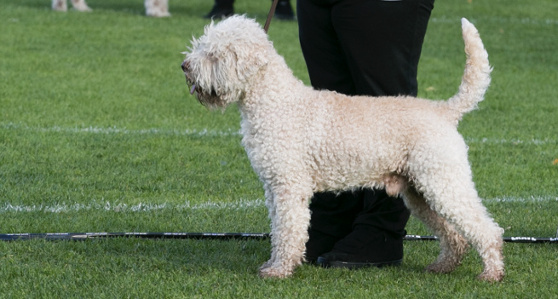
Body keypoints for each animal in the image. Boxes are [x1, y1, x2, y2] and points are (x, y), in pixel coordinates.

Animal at [182, 15, 506, 282]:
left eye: (214, 54)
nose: (184, 66)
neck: (275, 102)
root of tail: (444, 110)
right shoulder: (273, 187)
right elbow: (279, 230)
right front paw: (273, 264)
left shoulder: (289, 186)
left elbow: (288, 230)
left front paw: (280, 270)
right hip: (420, 191)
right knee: (454, 235)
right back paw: (442, 267)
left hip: (443, 182)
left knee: (487, 229)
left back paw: (491, 274)